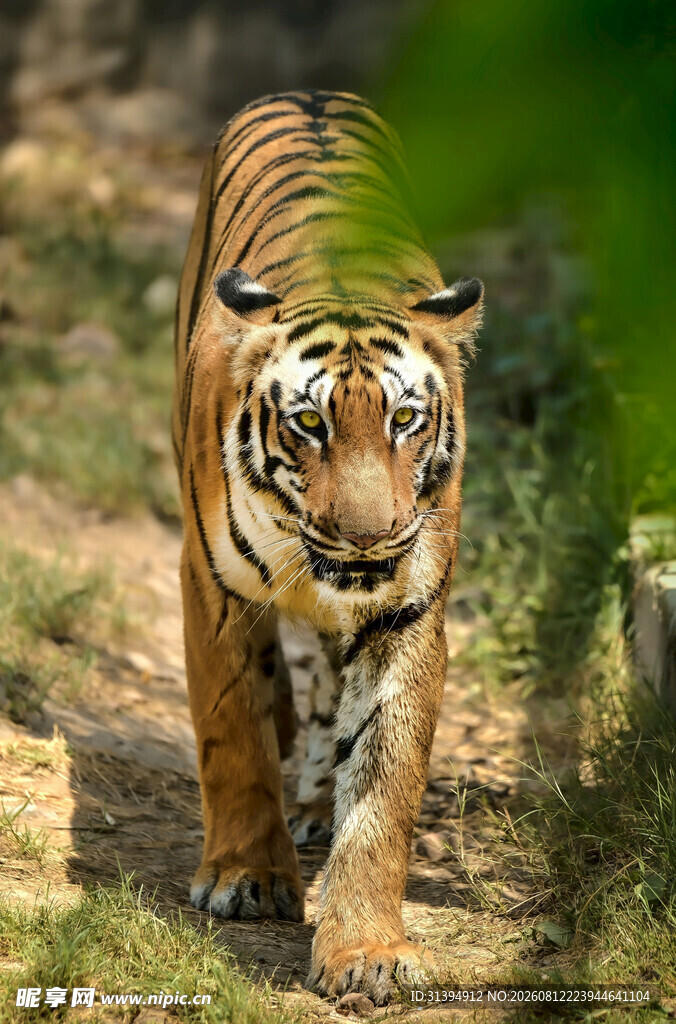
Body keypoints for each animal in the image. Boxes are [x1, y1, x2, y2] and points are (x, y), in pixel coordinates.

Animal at [172, 89, 483, 1005]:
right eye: (309, 423)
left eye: (405, 419)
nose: (368, 533)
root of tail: (306, 92)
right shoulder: (214, 587)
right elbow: (233, 729)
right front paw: (246, 878)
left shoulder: (408, 609)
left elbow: (382, 781)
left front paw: (366, 950)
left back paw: (314, 806)